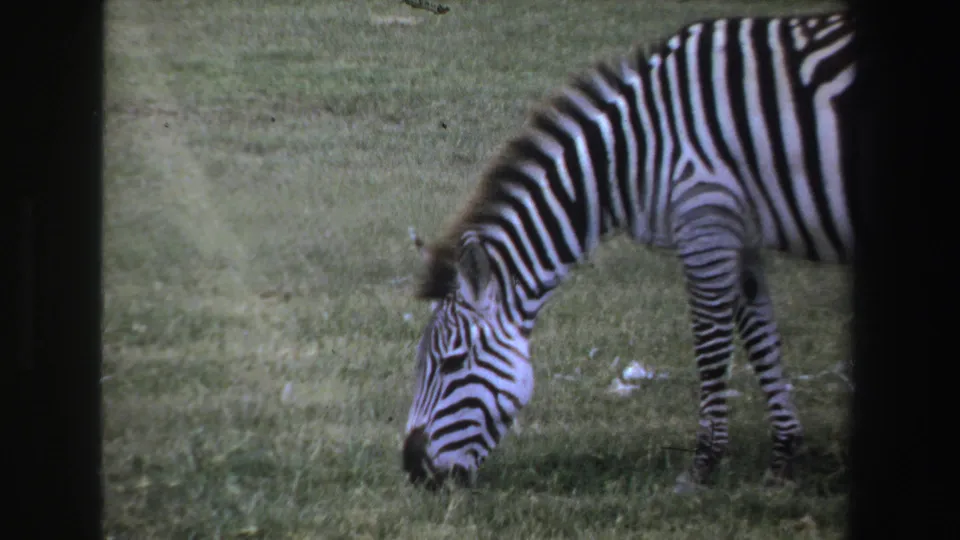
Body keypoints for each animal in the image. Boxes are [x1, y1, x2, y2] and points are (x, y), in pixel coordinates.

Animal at [403, 11, 855, 491]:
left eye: (451, 364)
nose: (412, 470)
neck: (635, 153)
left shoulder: (705, 221)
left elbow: (711, 345)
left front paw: (704, 463)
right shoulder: (740, 234)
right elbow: (761, 340)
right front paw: (784, 457)